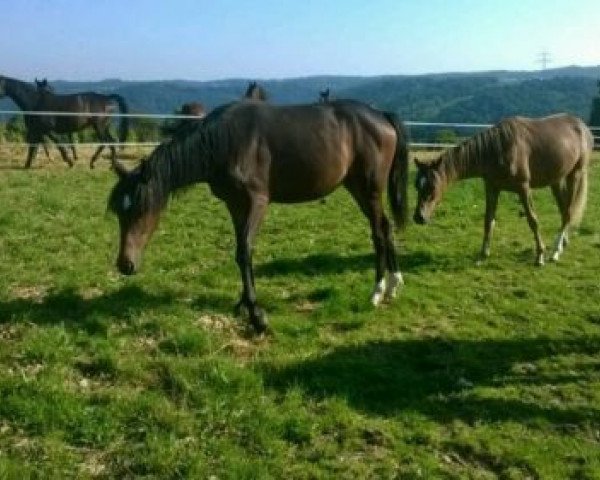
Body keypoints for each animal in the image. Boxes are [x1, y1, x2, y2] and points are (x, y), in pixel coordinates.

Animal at [0, 75, 129, 169]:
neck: (36, 103)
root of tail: (107, 98)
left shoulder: (47, 130)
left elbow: (58, 144)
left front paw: (69, 161)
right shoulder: (37, 130)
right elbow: (33, 147)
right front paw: (27, 165)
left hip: (99, 126)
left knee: (105, 142)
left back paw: (93, 163)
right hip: (104, 127)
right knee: (111, 142)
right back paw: (112, 166)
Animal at [108, 100, 410, 334]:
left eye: (140, 209)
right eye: (118, 212)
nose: (125, 264)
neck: (226, 141)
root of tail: (381, 115)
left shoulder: (257, 202)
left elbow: (245, 251)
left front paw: (257, 316)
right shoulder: (235, 205)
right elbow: (240, 253)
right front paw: (243, 304)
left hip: (369, 189)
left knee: (378, 232)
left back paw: (377, 291)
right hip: (357, 188)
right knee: (386, 227)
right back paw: (394, 286)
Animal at [414, 115, 592, 268]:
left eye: (432, 187)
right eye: (417, 185)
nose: (419, 217)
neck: (498, 149)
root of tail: (582, 126)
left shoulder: (523, 188)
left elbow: (532, 220)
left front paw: (540, 255)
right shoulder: (492, 188)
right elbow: (488, 221)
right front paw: (482, 256)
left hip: (575, 174)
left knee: (568, 212)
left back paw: (554, 252)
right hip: (556, 180)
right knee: (564, 210)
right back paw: (562, 244)